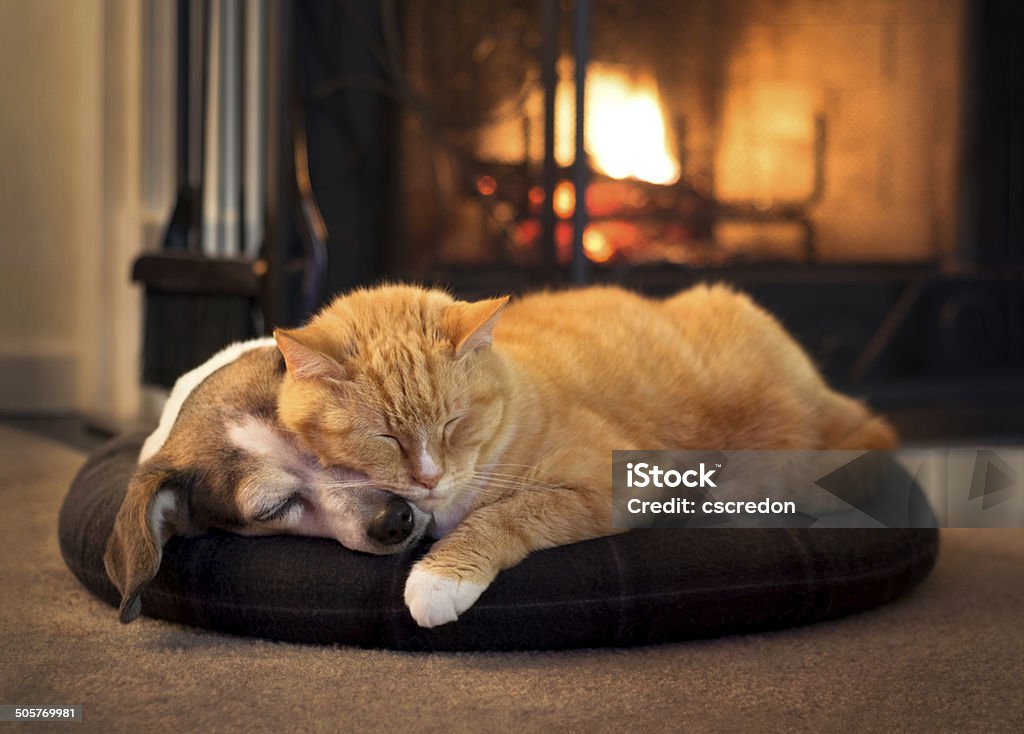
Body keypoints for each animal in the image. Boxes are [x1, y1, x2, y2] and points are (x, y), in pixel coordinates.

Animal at [272, 282, 897, 626]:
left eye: (454, 422)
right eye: (386, 437)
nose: (429, 477)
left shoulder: (609, 484)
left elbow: (505, 515)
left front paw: (439, 577)